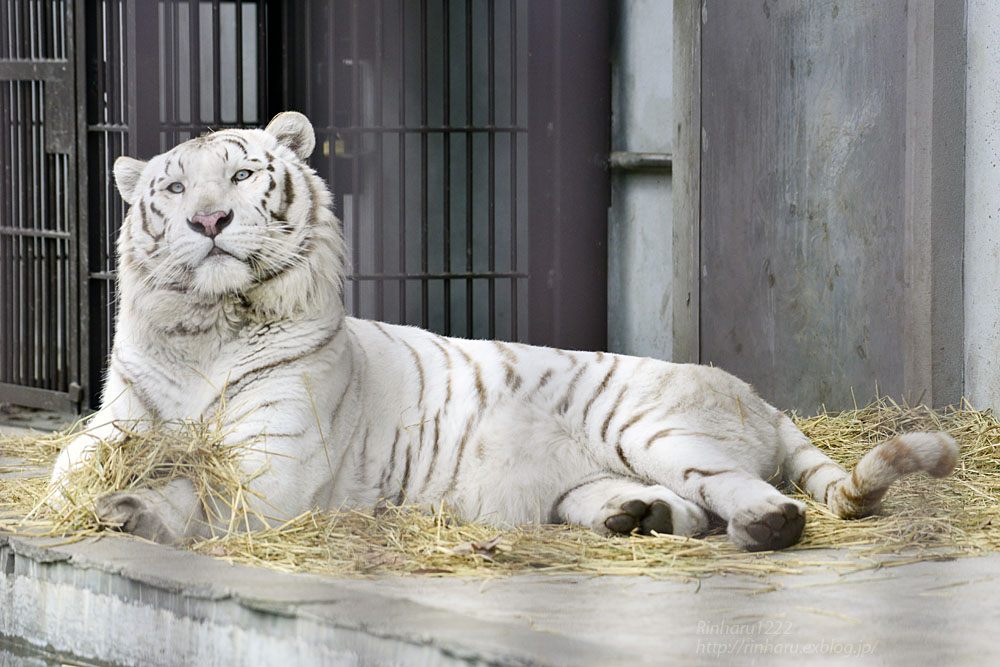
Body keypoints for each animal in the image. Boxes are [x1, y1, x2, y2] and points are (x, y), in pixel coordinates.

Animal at [50, 112, 956, 552]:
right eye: (173, 188)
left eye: (241, 174)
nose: (207, 220)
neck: (210, 327)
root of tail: (762, 397)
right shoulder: (123, 411)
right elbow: (73, 458)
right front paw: (76, 497)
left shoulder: (274, 458)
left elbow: (197, 489)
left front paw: (132, 509)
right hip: (602, 470)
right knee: (679, 506)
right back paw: (637, 517)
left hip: (652, 425)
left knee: (739, 490)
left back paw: (767, 525)